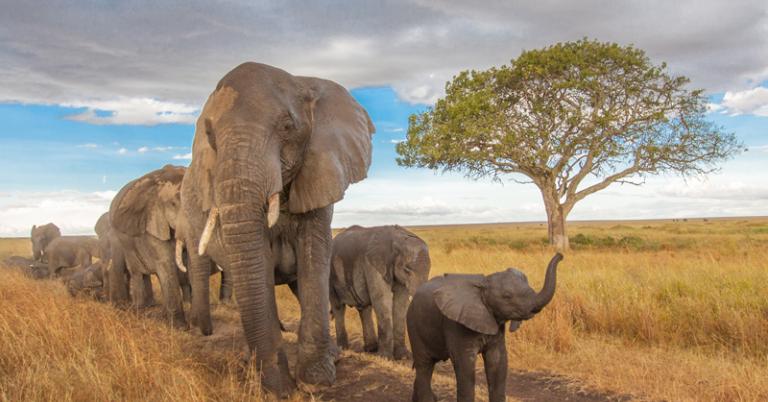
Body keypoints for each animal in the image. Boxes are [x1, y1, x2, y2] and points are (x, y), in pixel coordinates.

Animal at [109, 165, 190, 327]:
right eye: (173, 204)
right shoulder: (151, 224)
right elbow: (166, 263)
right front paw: (180, 327)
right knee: (136, 272)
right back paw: (137, 309)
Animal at [180, 62, 374, 397]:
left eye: (286, 127)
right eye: (211, 137)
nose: (280, 389)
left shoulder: (320, 169)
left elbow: (314, 257)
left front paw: (316, 379)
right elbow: (258, 264)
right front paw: (278, 385)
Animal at [330, 225, 431, 360]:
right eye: (407, 269)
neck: (398, 239)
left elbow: (400, 304)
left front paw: (403, 356)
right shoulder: (373, 265)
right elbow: (382, 300)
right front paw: (385, 358)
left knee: (364, 308)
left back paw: (371, 349)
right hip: (330, 275)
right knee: (338, 307)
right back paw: (343, 348)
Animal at [407, 253, 563, 402]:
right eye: (507, 296)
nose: (560, 255)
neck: (483, 284)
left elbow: (497, 362)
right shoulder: (455, 324)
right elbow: (465, 365)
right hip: (413, 325)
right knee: (424, 365)